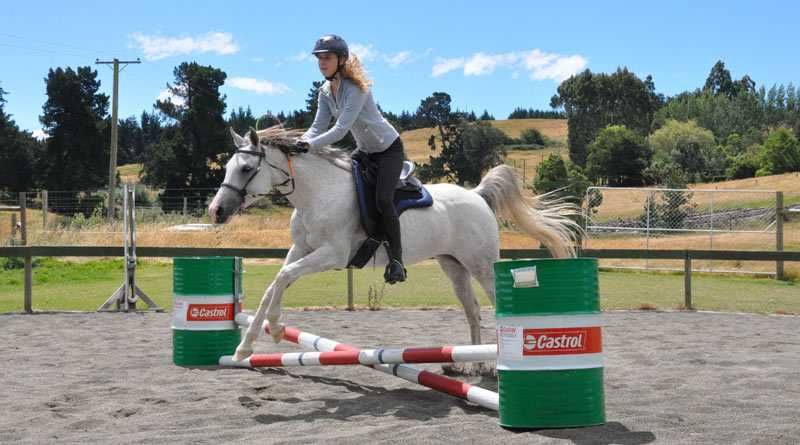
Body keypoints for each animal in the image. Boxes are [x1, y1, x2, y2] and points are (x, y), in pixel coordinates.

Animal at [208, 125, 580, 360]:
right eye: (227, 167)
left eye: (245, 168)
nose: (216, 211)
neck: (317, 194)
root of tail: (476, 195)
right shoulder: (302, 250)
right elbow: (276, 282)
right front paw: (251, 342)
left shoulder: (332, 255)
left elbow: (283, 277)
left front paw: (271, 329)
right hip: (453, 266)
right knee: (473, 311)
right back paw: (474, 364)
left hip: (482, 265)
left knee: (490, 304)